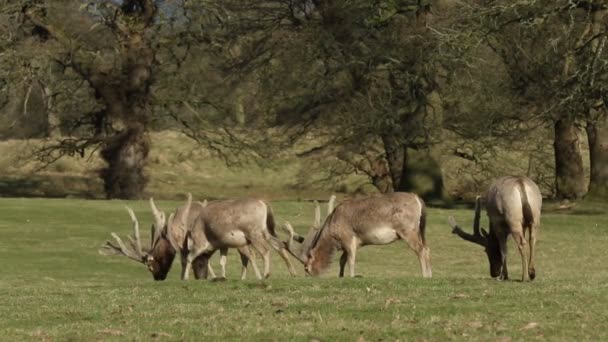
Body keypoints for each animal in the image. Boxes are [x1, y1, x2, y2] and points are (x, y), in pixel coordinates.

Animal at [290, 192, 430, 278]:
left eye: (306, 268)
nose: (309, 277)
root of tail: (418, 199)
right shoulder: (353, 243)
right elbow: (342, 260)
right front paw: (341, 276)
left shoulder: (348, 237)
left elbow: (351, 260)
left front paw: (351, 276)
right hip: (419, 230)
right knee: (427, 247)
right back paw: (430, 275)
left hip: (407, 230)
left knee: (420, 249)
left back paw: (425, 276)